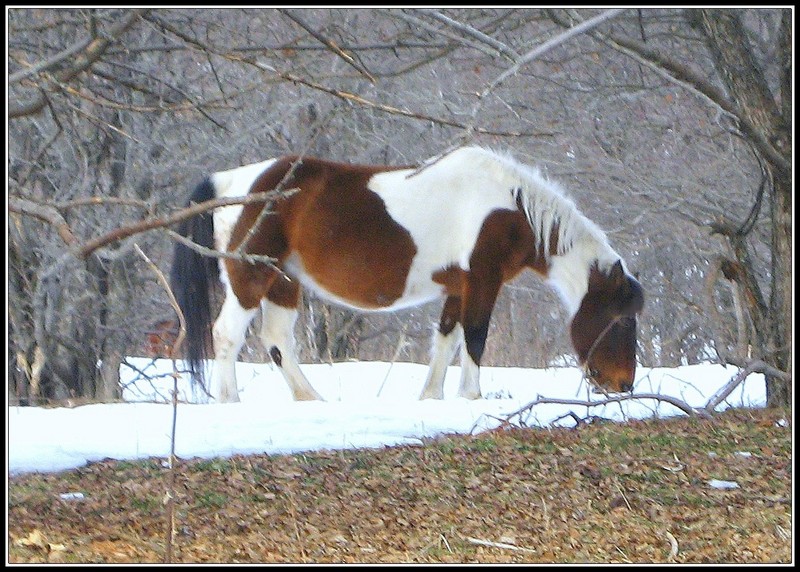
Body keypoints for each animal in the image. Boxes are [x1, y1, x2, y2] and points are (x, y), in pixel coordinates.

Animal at [169, 149, 644, 406]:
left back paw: (311, 399)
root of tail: (232, 181)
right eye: (621, 319)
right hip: (252, 278)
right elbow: (474, 337)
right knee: (228, 334)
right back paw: (230, 401)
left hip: (283, 282)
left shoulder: (459, 286)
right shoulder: (483, 279)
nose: (623, 384)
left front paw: (431, 397)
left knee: (276, 340)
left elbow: (447, 338)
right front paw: (471, 396)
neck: (508, 207)